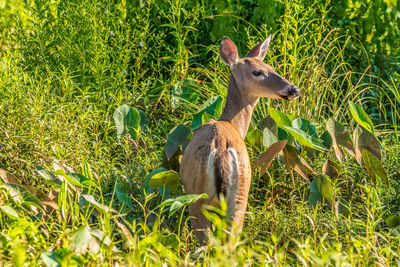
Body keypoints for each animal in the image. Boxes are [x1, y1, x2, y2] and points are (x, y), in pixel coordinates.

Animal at [180, 36, 300, 247]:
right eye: (257, 71)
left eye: (270, 67)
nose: (294, 89)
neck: (232, 123)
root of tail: (221, 152)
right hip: (236, 194)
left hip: (200, 196)